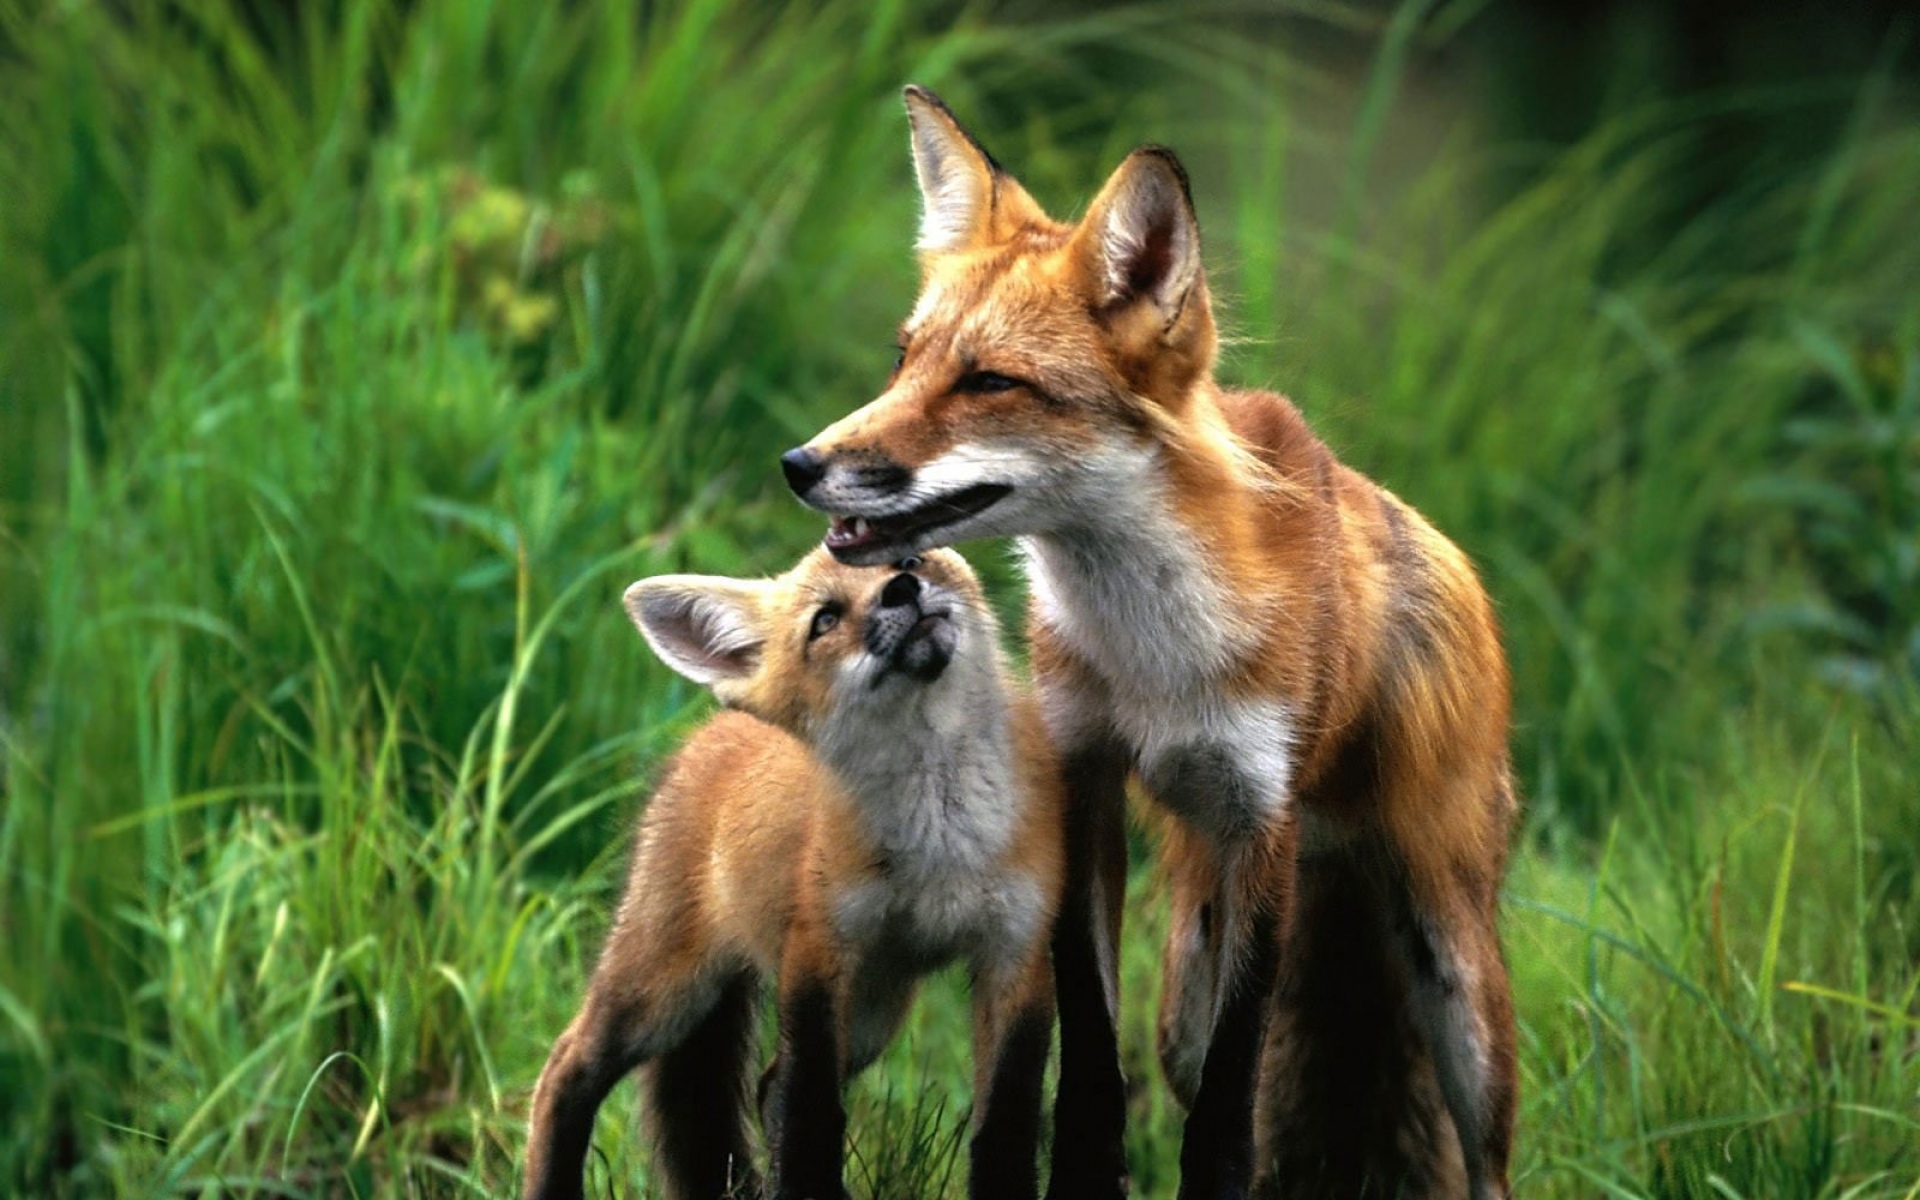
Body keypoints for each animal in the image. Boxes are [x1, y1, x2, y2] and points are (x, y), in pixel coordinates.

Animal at [522, 547, 1066, 1200]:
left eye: (911, 558)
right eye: (825, 619)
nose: (903, 589)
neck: (941, 843)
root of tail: (713, 727)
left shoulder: (1018, 953)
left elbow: (1005, 1123)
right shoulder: (817, 950)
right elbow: (811, 1108)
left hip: (873, 1012)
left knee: (766, 1086)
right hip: (663, 994)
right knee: (566, 1068)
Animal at [778, 87, 1519, 1200]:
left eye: (988, 382)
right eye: (904, 360)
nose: (800, 464)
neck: (1154, 656)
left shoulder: (1264, 822)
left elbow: (1227, 1109)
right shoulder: (1085, 778)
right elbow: (1091, 1051)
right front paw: (1089, 1168)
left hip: (1458, 981)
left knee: (1483, 1160)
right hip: (1183, 981)